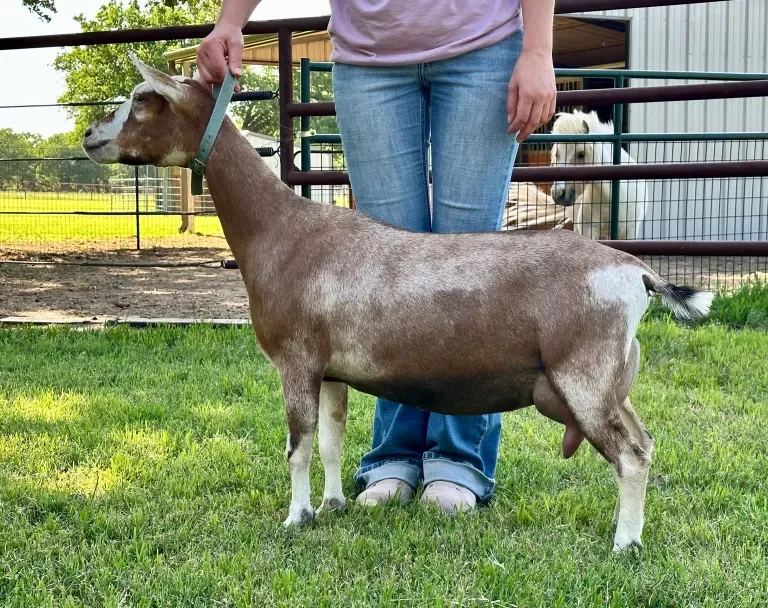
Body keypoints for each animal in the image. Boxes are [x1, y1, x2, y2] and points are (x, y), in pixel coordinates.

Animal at [82, 53, 714, 552]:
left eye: (143, 99)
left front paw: (295, 518)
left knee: (630, 454)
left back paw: (625, 543)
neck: (282, 231)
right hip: (607, 381)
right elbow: (332, 441)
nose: (89, 136)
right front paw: (333, 505)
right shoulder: (330, 369)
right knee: (646, 444)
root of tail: (634, 272)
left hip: (583, 378)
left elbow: (297, 446)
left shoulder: (295, 361)